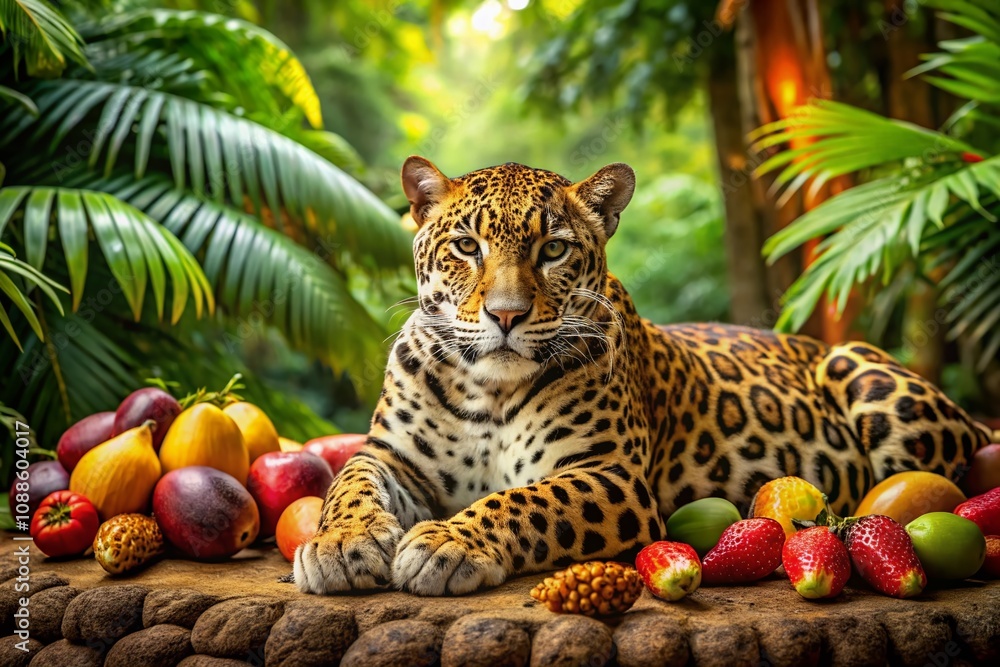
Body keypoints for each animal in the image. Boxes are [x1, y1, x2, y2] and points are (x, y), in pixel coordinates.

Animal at [294, 157, 989, 596]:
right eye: (466, 247)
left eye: (553, 249)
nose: (506, 315)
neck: (488, 388)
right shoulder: (393, 458)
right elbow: (348, 486)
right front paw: (340, 547)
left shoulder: (610, 475)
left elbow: (523, 500)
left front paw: (448, 543)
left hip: (863, 373)